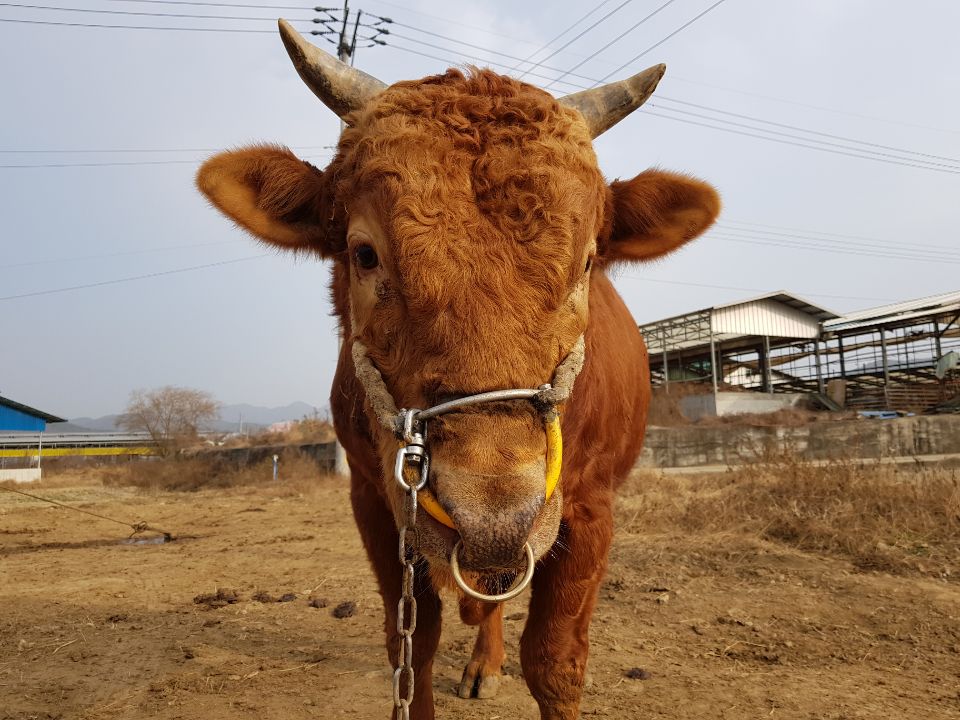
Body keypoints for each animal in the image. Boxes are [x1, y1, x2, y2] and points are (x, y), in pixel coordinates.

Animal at [197, 19, 720, 716]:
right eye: (364, 254)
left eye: (586, 262)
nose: (491, 515)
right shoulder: (376, 501)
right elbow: (412, 648)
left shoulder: (589, 508)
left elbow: (554, 661)